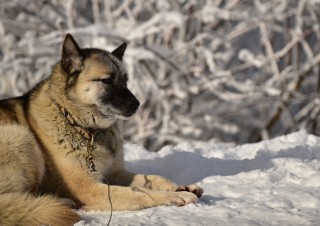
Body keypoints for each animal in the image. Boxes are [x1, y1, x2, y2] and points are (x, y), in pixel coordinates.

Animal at [0, 34, 202, 226]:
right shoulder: (89, 188)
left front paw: (179, 187)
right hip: (21, 136)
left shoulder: (115, 173)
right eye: (106, 81)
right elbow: (138, 192)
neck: (83, 127)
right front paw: (176, 196)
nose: (137, 104)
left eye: (125, 80)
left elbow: (154, 178)